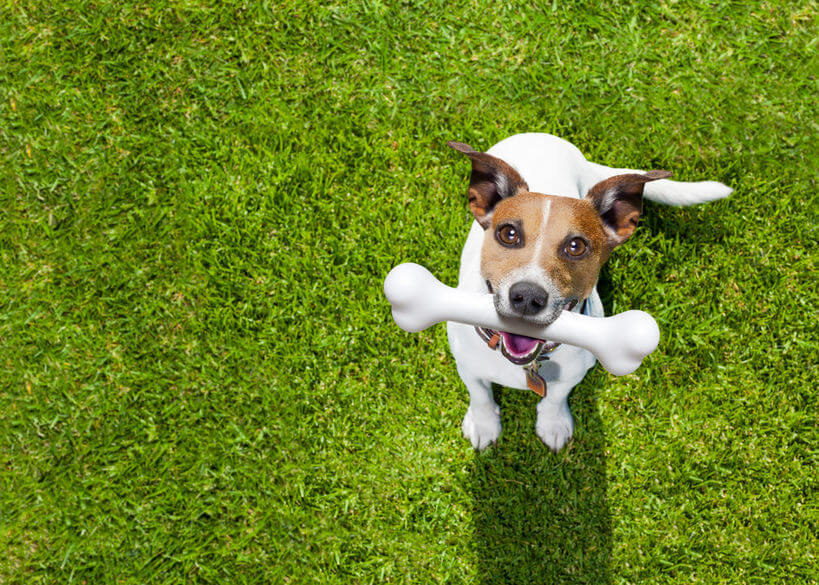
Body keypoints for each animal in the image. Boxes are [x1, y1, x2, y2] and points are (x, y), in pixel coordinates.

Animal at [446, 133, 732, 452]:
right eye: (508, 234)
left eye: (576, 246)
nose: (528, 297)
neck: (528, 363)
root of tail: (543, 137)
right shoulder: (466, 364)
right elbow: (479, 393)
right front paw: (484, 424)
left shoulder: (573, 374)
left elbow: (555, 398)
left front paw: (553, 423)